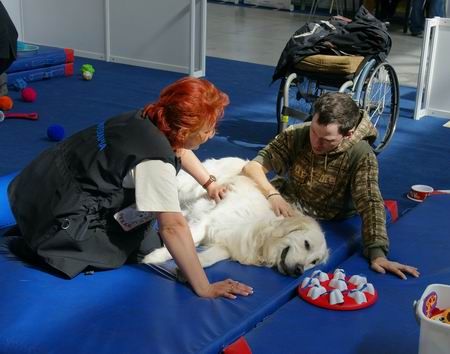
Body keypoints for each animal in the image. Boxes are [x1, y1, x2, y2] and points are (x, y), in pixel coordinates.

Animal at [142, 158, 328, 276]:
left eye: (314, 262)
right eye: (307, 244)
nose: (299, 271)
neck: (262, 230)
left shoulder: (227, 244)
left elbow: (210, 257)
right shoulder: (208, 220)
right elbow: (188, 239)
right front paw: (154, 257)